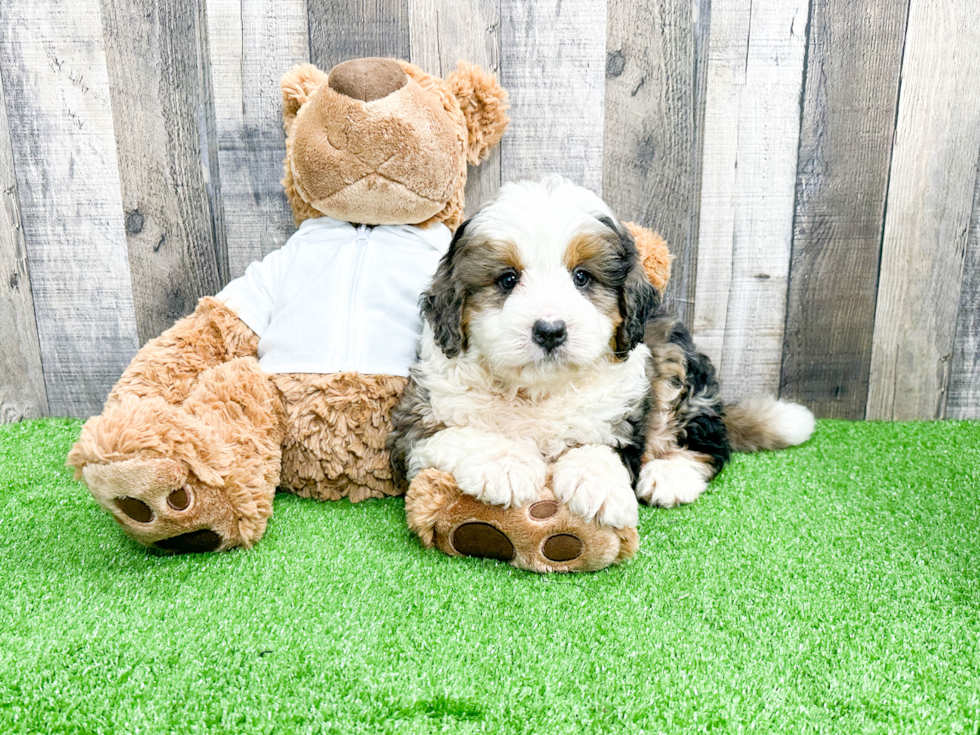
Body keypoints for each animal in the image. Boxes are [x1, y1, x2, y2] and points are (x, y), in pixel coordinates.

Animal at [388, 174, 812, 528]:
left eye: (582, 277)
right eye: (507, 279)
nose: (550, 331)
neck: (538, 391)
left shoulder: (620, 416)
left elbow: (597, 445)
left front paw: (600, 487)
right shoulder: (415, 426)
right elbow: (462, 433)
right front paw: (505, 465)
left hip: (673, 356)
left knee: (709, 438)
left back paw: (670, 474)